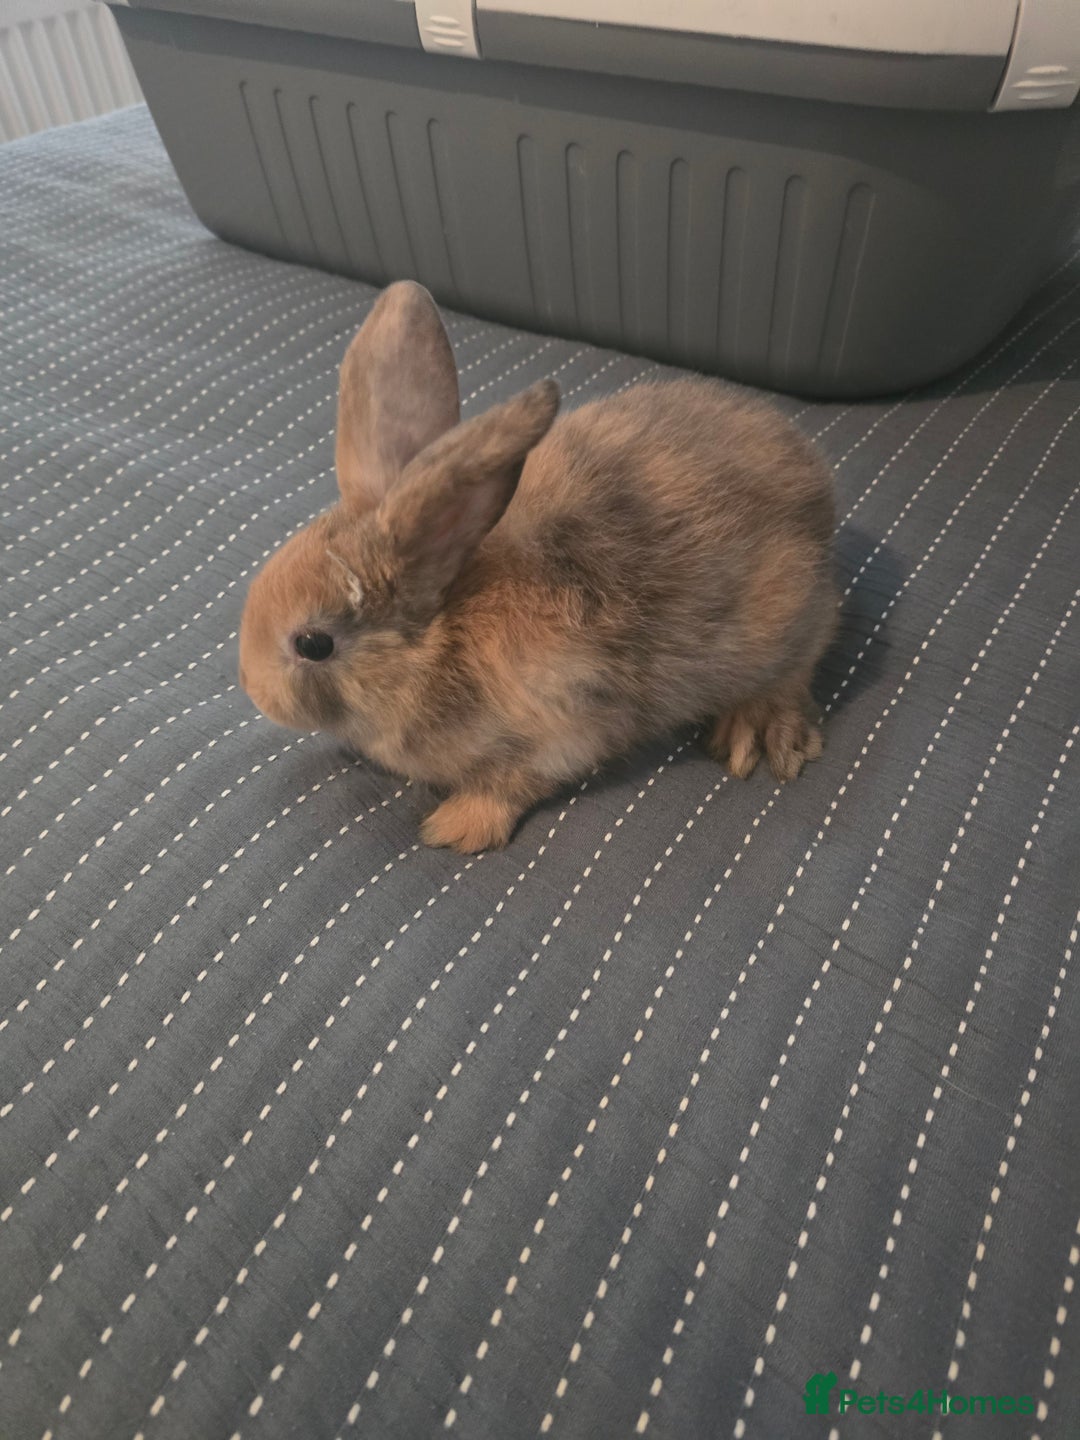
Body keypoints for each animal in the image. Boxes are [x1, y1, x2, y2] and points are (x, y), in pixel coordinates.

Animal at [238, 281, 838, 854]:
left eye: (314, 644)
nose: (251, 686)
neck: (442, 637)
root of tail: (817, 484)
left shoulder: (559, 729)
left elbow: (509, 784)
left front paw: (454, 829)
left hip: (785, 618)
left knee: (800, 664)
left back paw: (759, 730)